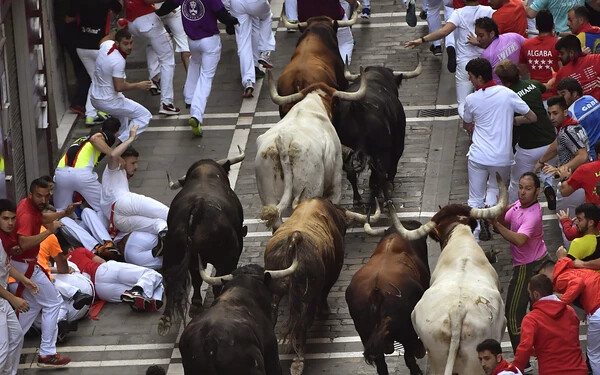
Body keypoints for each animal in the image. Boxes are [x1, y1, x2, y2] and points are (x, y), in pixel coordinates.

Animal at [158, 150, 247, 338]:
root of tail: (198, 207)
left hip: (172, 252)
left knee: (172, 281)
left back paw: (168, 319)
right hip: (225, 257)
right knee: (217, 280)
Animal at [264, 198, 378, 374]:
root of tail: (293, 239)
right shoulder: (335, 269)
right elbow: (324, 293)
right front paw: (324, 310)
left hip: (274, 291)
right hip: (307, 295)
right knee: (303, 322)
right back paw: (298, 361)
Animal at [338, 59, 422, 206]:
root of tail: (357, 106)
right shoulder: (398, 142)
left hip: (346, 152)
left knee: (351, 174)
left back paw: (358, 200)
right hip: (383, 151)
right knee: (382, 174)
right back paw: (386, 200)